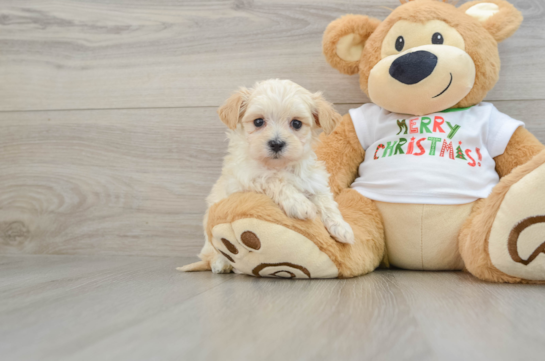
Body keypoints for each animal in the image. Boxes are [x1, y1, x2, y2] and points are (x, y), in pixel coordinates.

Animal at [181, 79, 354, 272]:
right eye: (258, 122)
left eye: (296, 124)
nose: (277, 143)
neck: (279, 166)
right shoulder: (247, 178)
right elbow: (274, 180)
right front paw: (299, 204)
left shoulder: (312, 181)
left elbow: (326, 202)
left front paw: (342, 228)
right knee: (212, 253)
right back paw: (221, 264)